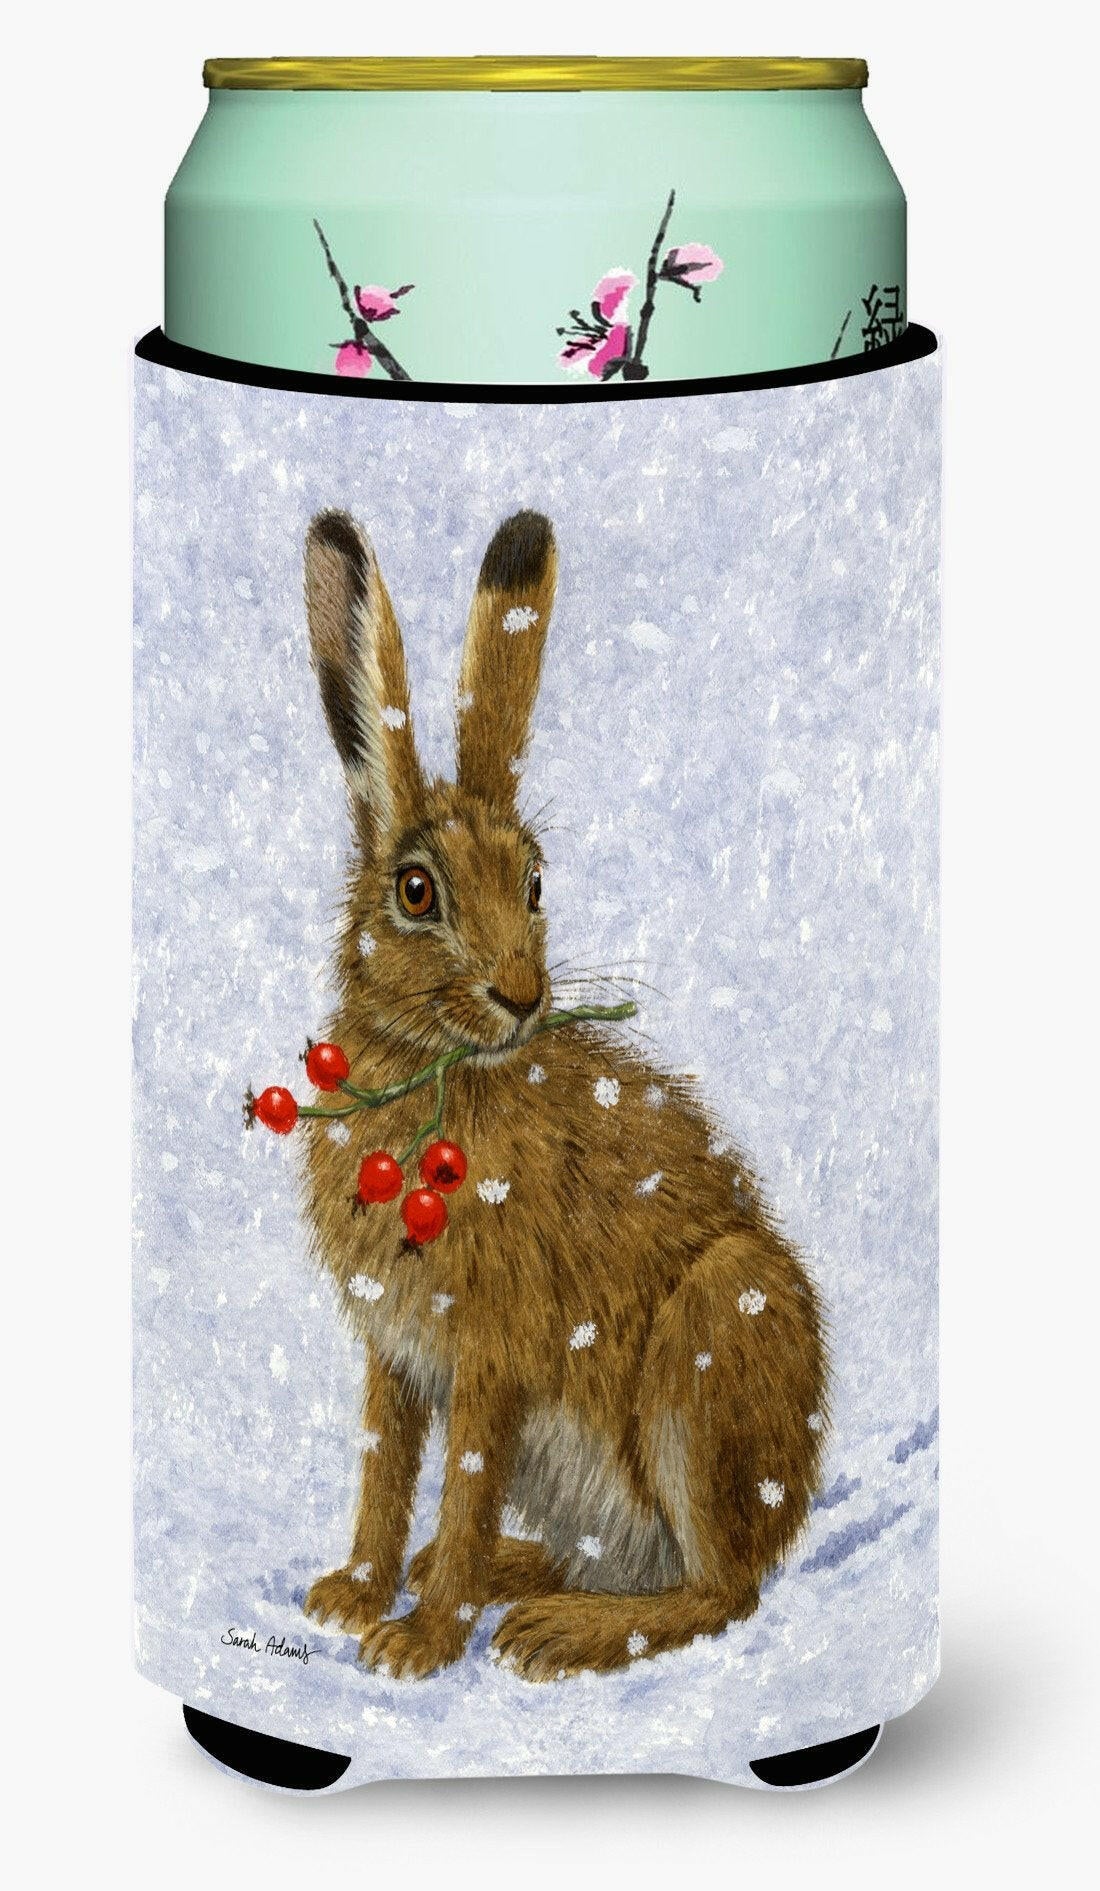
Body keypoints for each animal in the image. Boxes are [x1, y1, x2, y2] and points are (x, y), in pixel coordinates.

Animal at [300, 505, 828, 1681]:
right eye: (416, 892)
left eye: (536, 884)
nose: (520, 993)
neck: (439, 1074)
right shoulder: (393, 1356)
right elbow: (383, 1471)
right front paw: (350, 1596)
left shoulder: (491, 1352)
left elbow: (457, 1483)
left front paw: (417, 1643)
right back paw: (513, 1581)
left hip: (712, 1347)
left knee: (718, 1592)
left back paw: (551, 1631)